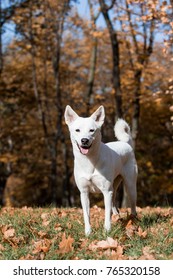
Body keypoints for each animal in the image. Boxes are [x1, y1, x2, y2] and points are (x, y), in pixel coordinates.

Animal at [64, 106, 137, 235]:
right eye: (77, 130)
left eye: (91, 130)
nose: (84, 140)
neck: (89, 161)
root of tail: (125, 143)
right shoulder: (84, 193)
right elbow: (86, 215)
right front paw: (88, 232)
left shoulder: (106, 192)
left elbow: (106, 213)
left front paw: (107, 231)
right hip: (114, 186)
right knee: (114, 203)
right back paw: (117, 218)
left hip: (130, 186)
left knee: (133, 206)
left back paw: (133, 221)